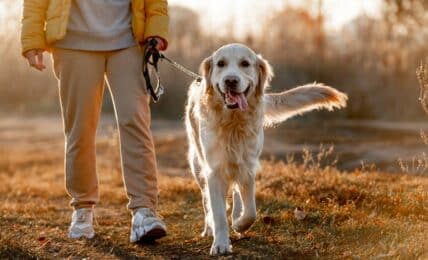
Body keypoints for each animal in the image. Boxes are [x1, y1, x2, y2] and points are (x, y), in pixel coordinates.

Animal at [184, 43, 348, 255]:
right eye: (220, 64)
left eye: (245, 64)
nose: (230, 80)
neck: (233, 122)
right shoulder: (214, 170)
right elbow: (218, 211)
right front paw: (220, 243)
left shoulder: (248, 166)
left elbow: (251, 211)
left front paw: (240, 224)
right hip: (198, 165)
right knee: (206, 200)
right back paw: (208, 228)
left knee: (236, 194)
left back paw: (235, 217)